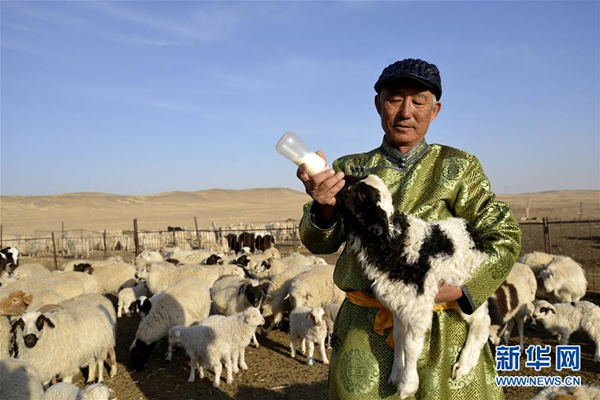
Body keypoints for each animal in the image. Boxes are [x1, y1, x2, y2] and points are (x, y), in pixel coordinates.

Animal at [338, 175, 492, 400]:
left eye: (360, 195)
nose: (340, 184)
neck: (394, 242)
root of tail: (469, 228)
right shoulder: (399, 302)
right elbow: (398, 336)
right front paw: (396, 372)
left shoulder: (419, 305)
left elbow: (411, 345)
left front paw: (407, 385)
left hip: (469, 283)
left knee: (481, 321)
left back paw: (463, 366)